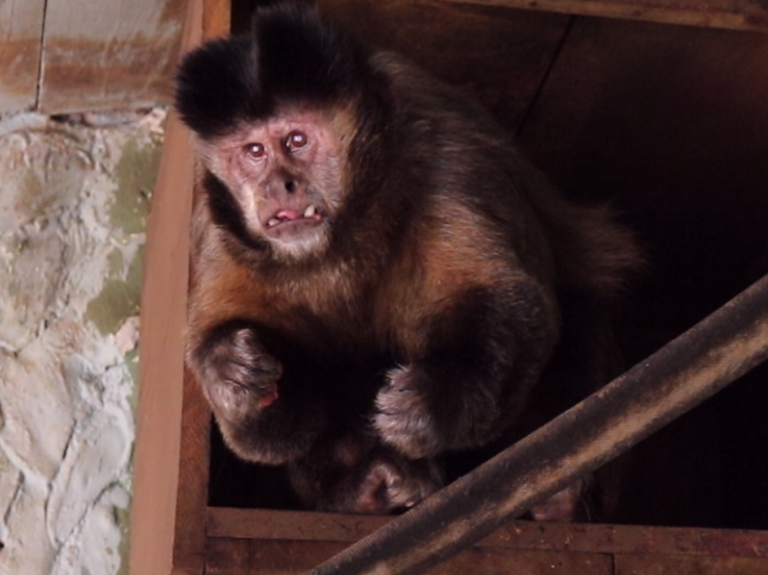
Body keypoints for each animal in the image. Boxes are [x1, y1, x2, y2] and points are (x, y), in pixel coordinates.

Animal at [175, 1, 641, 518]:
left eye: (296, 141)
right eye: (254, 152)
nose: (279, 185)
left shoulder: (447, 158)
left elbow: (516, 303)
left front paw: (436, 403)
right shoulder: (216, 225)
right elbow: (269, 431)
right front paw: (231, 375)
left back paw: (559, 499)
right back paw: (366, 489)